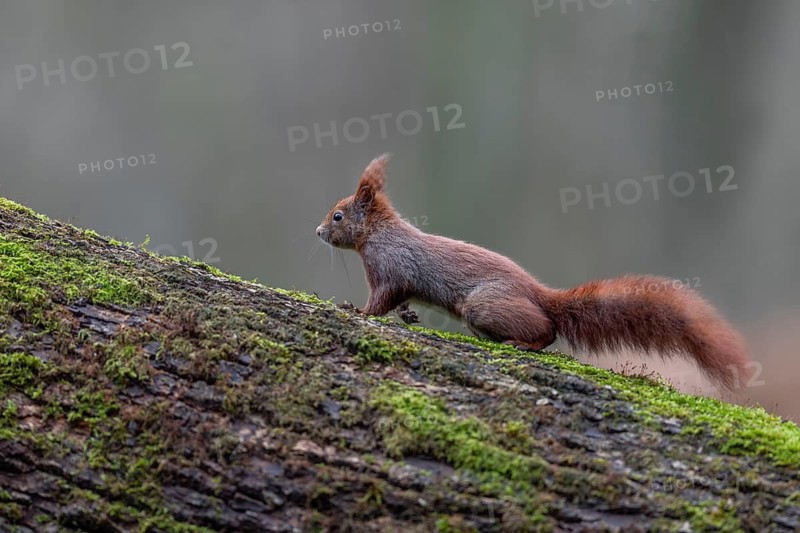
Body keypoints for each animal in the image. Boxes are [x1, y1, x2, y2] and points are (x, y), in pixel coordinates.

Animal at [316, 154, 752, 390]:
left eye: (338, 215)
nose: (318, 232)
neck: (379, 233)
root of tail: (538, 294)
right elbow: (399, 303)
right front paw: (405, 315)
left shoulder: (390, 269)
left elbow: (381, 299)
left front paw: (357, 310)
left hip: (484, 307)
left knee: (548, 330)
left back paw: (523, 343)